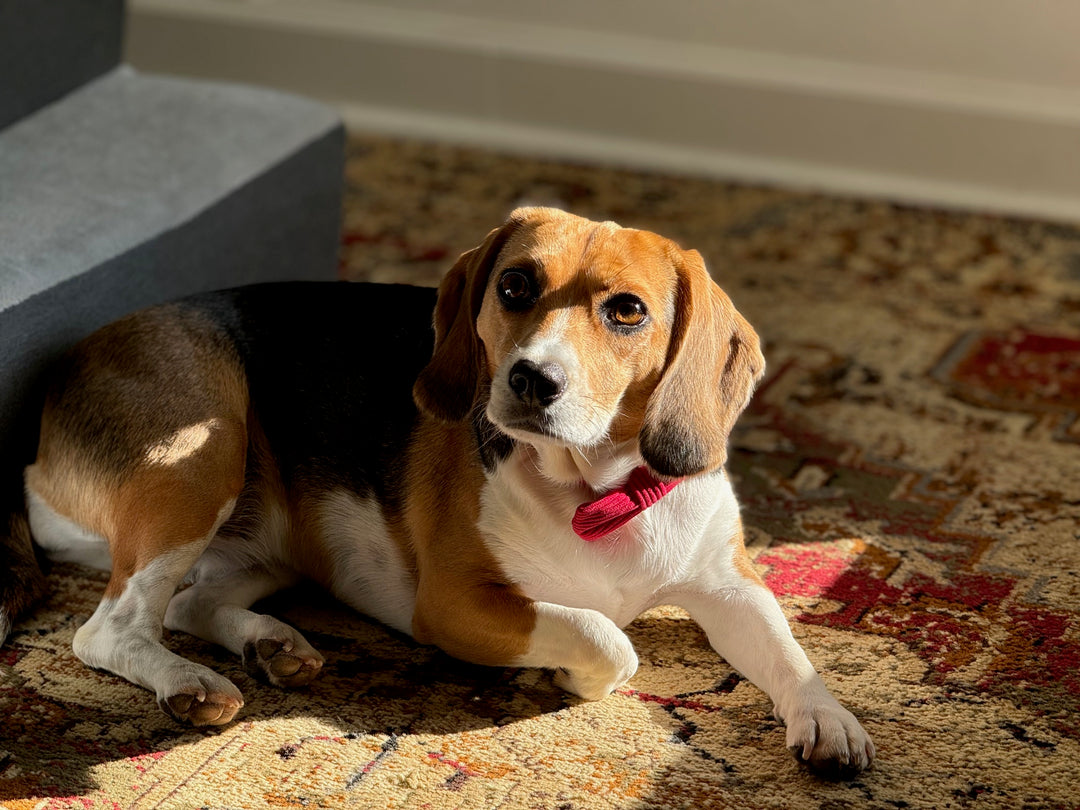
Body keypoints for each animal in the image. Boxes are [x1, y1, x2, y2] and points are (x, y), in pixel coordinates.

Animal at [4, 207, 872, 773]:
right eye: (515, 286)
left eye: (627, 311)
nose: (531, 379)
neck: (597, 492)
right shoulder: (454, 605)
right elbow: (607, 638)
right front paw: (565, 675)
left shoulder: (731, 586)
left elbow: (789, 650)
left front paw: (829, 717)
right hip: (202, 452)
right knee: (108, 629)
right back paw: (189, 682)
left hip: (271, 537)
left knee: (188, 603)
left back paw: (270, 644)